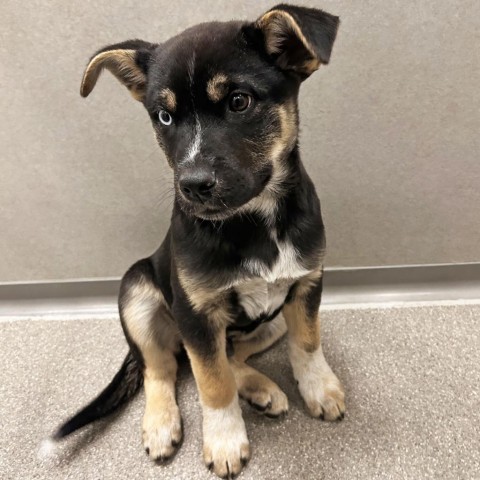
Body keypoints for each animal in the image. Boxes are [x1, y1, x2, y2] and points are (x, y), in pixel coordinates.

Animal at [47, 4, 344, 480]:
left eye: (239, 101)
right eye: (164, 117)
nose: (192, 186)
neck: (254, 222)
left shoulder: (306, 284)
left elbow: (307, 343)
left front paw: (320, 389)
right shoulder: (196, 313)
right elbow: (212, 383)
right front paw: (224, 440)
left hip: (271, 321)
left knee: (229, 355)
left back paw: (260, 388)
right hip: (137, 291)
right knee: (165, 367)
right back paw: (161, 423)